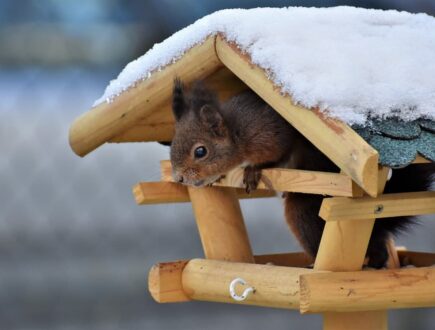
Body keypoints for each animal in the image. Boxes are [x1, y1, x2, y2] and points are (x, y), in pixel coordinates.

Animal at [169, 79, 435, 268]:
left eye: (201, 151)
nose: (179, 178)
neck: (236, 133)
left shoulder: (269, 135)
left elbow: (278, 153)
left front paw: (253, 170)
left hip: (303, 214)